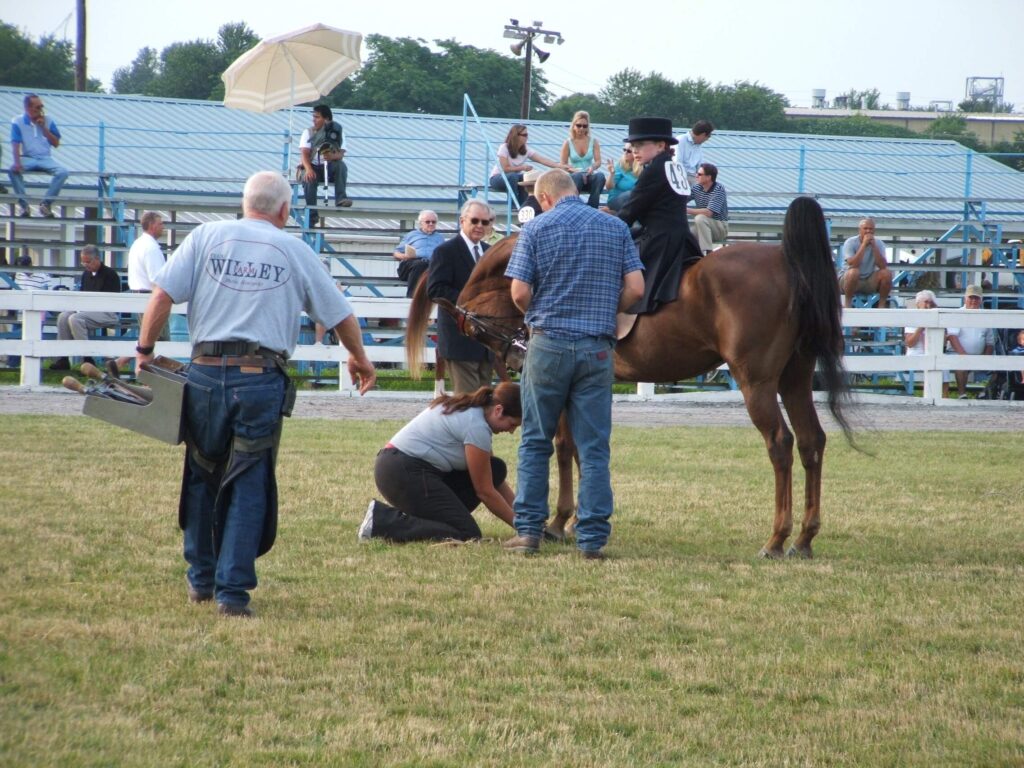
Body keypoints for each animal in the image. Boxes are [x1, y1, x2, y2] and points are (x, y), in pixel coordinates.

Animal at [406, 197, 852, 559]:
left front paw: (559, 522)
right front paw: (578, 521)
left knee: (780, 444)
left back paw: (776, 538)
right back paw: (804, 539)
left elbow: (564, 446)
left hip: (756, 382)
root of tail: (786, 262)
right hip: (795, 380)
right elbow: (582, 449)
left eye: (478, 330)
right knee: (812, 442)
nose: (514, 357)